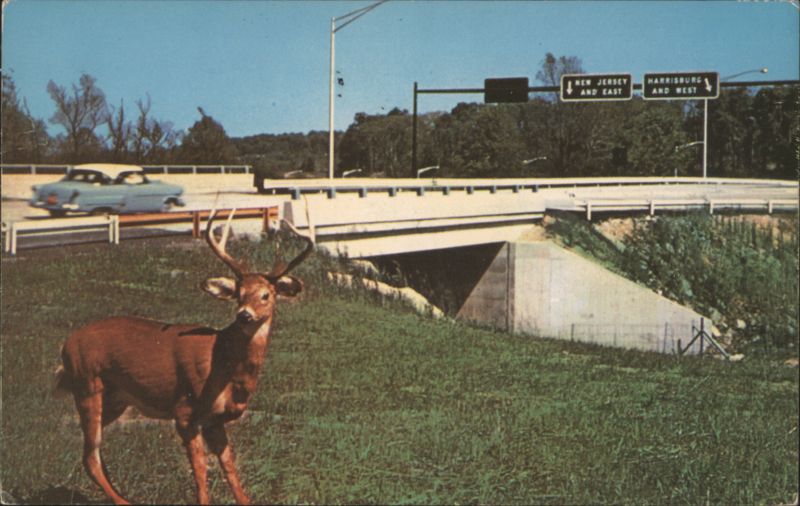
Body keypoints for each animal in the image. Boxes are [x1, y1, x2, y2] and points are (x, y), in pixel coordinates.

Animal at [54, 208, 313, 505]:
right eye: (238, 294)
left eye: (266, 295)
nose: (244, 315)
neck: (223, 365)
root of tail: (66, 345)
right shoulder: (185, 411)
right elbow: (200, 469)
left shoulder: (215, 420)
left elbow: (230, 466)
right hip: (87, 385)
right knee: (90, 456)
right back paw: (123, 501)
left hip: (115, 398)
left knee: (92, 449)